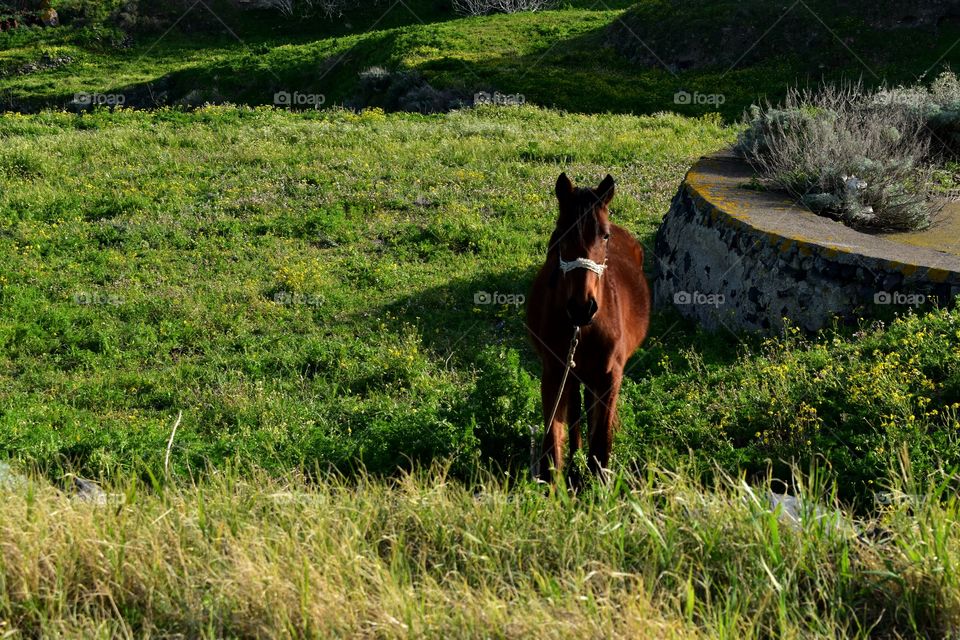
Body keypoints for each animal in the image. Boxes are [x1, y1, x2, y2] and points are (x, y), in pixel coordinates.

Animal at [527, 173, 651, 485]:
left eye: (604, 236)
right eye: (561, 233)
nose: (582, 307)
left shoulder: (609, 376)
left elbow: (601, 444)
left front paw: (599, 488)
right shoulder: (554, 372)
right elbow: (552, 443)